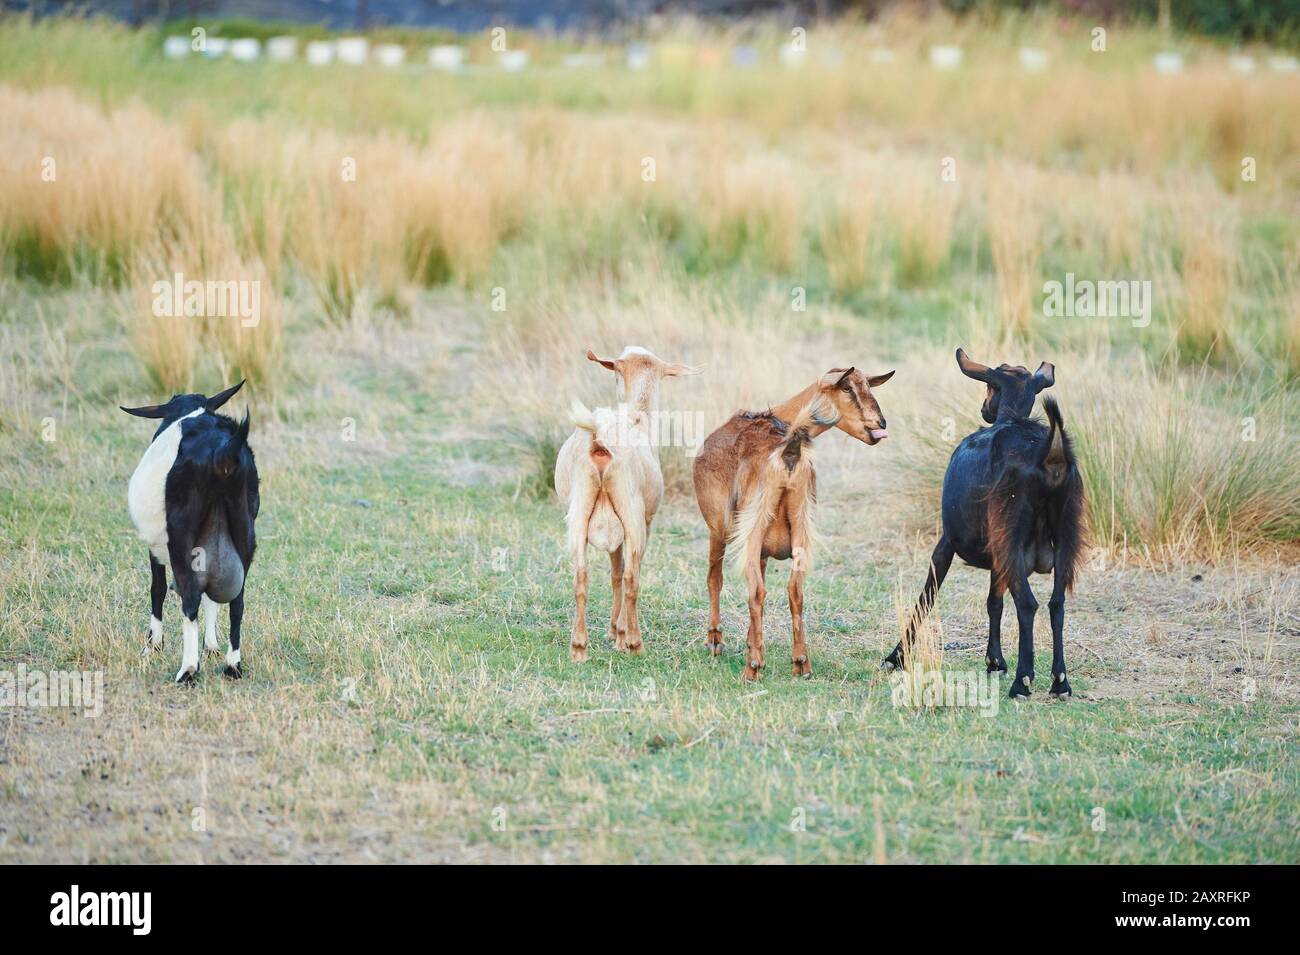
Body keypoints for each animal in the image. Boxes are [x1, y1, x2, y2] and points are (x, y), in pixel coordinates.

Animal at [123, 381, 259, 683]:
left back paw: (188, 670)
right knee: (237, 600)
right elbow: (212, 598)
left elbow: (158, 588)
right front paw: (211, 646)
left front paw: (154, 645)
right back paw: (233, 665)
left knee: (190, 597)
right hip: (244, 529)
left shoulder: (156, 547)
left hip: (180, 537)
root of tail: (224, 454)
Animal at [554, 347, 700, 661]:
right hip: (632, 515)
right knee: (634, 577)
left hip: (578, 514)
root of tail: (598, 440)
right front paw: (620, 634)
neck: (637, 416)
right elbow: (627, 572)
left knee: (581, 578)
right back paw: (634, 643)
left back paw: (579, 647)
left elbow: (615, 572)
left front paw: (612, 630)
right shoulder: (646, 520)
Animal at [694, 366, 893, 680]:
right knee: (794, 590)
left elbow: (716, 579)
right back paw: (801, 662)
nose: (880, 423)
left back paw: (752, 667)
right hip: (799, 530)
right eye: (847, 388)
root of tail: (789, 451)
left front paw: (716, 641)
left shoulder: (720, 529)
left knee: (754, 590)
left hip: (748, 532)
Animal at [882, 349, 1085, 698]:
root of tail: (1051, 455)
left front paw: (896, 656)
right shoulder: (997, 553)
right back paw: (1060, 682)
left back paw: (1022, 681)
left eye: (991, 384)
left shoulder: (947, 542)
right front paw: (995, 661)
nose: (984, 408)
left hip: (1013, 542)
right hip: (1060, 542)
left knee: (1028, 604)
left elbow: (927, 596)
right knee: (1056, 603)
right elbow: (994, 601)